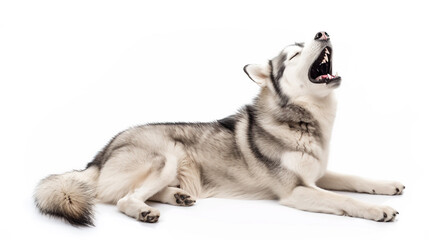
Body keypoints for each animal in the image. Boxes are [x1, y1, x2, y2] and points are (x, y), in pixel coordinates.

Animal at [34, 31, 404, 225]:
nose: (322, 33)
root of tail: (99, 155)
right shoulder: (297, 190)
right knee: (123, 198)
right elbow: (344, 199)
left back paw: (177, 195)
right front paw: (378, 209)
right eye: (293, 56)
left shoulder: (319, 173)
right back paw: (144, 210)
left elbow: (354, 179)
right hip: (166, 155)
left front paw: (387, 186)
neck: (304, 119)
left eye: (306, 45)